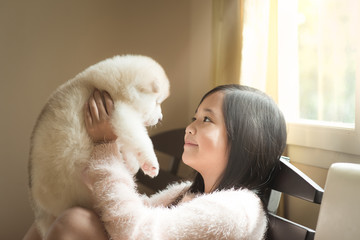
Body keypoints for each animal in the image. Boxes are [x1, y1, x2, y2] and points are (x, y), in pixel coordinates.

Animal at [27, 54, 169, 236]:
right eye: (157, 102)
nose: (160, 118)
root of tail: (40, 210)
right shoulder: (120, 113)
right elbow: (140, 139)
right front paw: (150, 163)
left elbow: (127, 144)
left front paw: (132, 164)